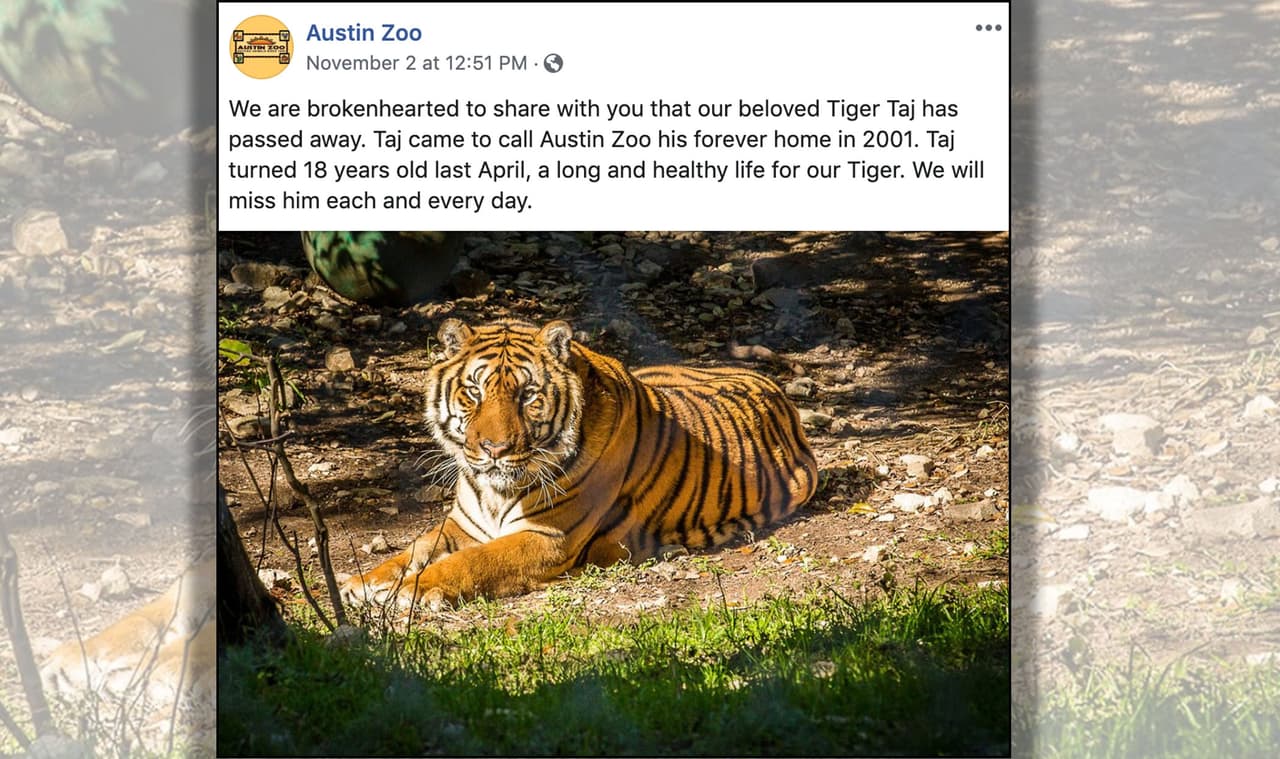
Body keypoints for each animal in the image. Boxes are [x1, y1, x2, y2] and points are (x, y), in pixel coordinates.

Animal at [341, 318, 819, 610]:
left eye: (527, 396)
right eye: (474, 392)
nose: (494, 449)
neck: (494, 490)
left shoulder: (549, 538)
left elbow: (472, 562)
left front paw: (412, 591)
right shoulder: (461, 525)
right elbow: (413, 549)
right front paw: (364, 584)